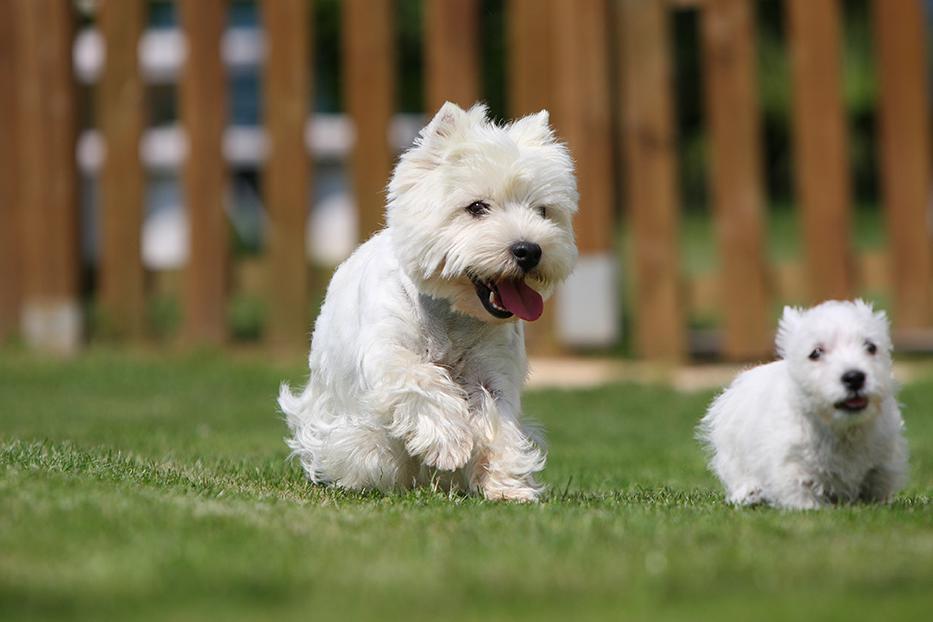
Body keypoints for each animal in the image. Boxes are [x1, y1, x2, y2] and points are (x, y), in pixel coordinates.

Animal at [280, 102, 580, 502]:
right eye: (476, 207)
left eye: (543, 211)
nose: (529, 250)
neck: (452, 314)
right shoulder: (386, 355)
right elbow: (420, 378)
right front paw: (450, 444)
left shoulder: (493, 371)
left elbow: (498, 423)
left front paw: (508, 486)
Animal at [700, 300, 904, 510]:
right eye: (816, 352)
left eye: (871, 347)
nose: (854, 377)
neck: (841, 429)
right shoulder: (791, 465)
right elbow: (802, 495)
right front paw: (810, 508)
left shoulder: (883, 462)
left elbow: (875, 489)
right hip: (732, 453)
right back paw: (750, 494)